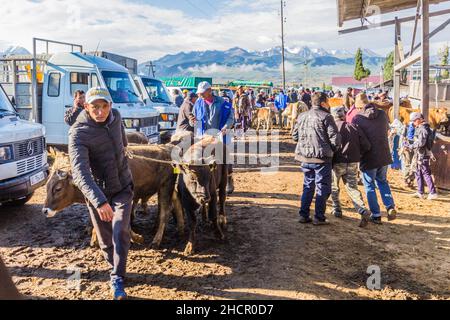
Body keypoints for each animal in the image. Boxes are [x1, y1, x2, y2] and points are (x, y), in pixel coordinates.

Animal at [41, 144, 183, 248]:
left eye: (58, 188)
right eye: (47, 185)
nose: (45, 210)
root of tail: (167, 147)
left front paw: (137, 238)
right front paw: (95, 239)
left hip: (166, 186)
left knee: (165, 211)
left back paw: (156, 240)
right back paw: (179, 228)